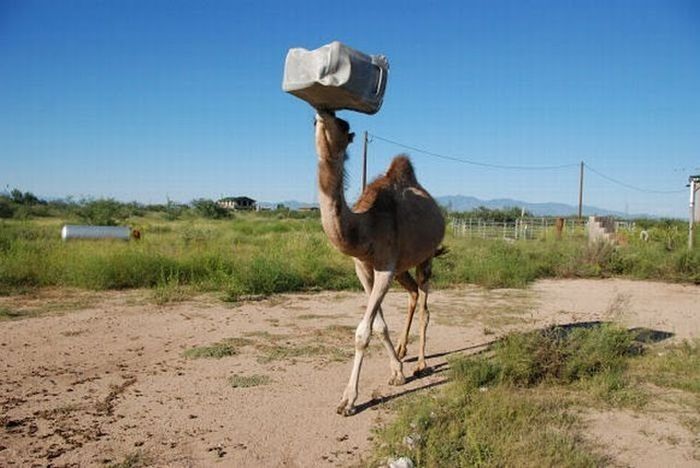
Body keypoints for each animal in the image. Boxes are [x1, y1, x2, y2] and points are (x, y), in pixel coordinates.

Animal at [314, 110, 446, 416]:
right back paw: (403, 350)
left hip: (425, 259)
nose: (321, 118)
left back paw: (421, 363)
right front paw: (397, 371)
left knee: (425, 307)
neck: (365, 225)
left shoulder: (385, 266)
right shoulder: (363, 267)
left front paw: (348, 401)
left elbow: (363, 332)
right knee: (412, 294)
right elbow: (378, 325)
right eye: (314, 122)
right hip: (403, 267)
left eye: (344, 126)